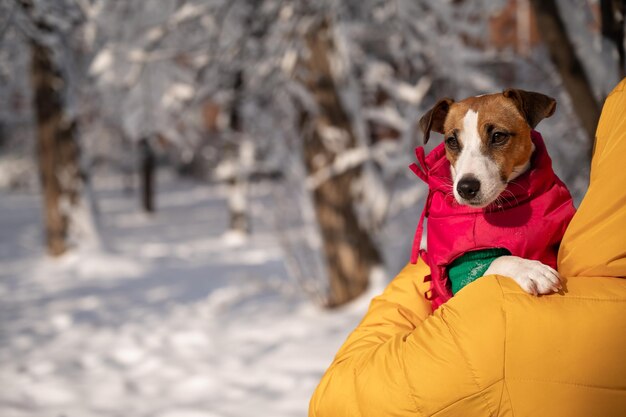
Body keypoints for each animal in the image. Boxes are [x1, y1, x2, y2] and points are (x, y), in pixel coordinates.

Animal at [410, 88, 576, 308]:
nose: (466, 187)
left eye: (498, 136)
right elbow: (498, 261)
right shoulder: (463, 273)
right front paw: (531, 270)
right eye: (451, 141)